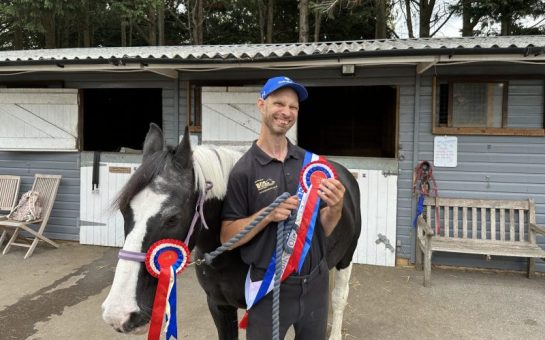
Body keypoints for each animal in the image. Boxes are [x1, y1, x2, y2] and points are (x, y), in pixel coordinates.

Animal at [102, 124, 362, 340]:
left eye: (172, 217)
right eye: (125, 210)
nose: (119, 313)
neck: (227, 253)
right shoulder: (219, 306)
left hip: (346, 259)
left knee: (339, 298)